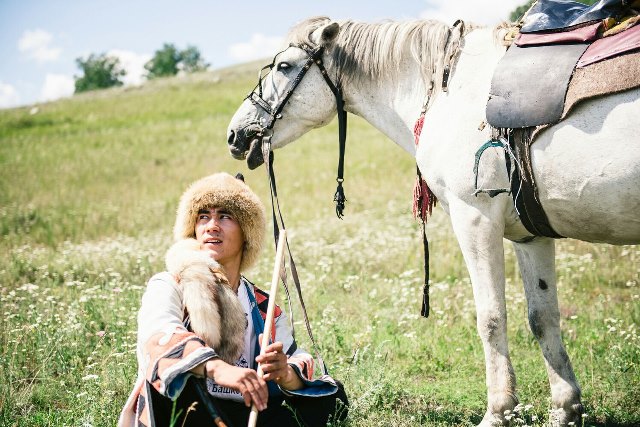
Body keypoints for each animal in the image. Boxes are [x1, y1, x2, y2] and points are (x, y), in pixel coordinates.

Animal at [226, 16, 640, 427]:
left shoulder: (475, 219)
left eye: (284, 67)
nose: (235, 134)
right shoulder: (530, 236)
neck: (448, 92)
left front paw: (498, 411)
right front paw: (565, 409)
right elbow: (543, 318)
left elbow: (491, 318)